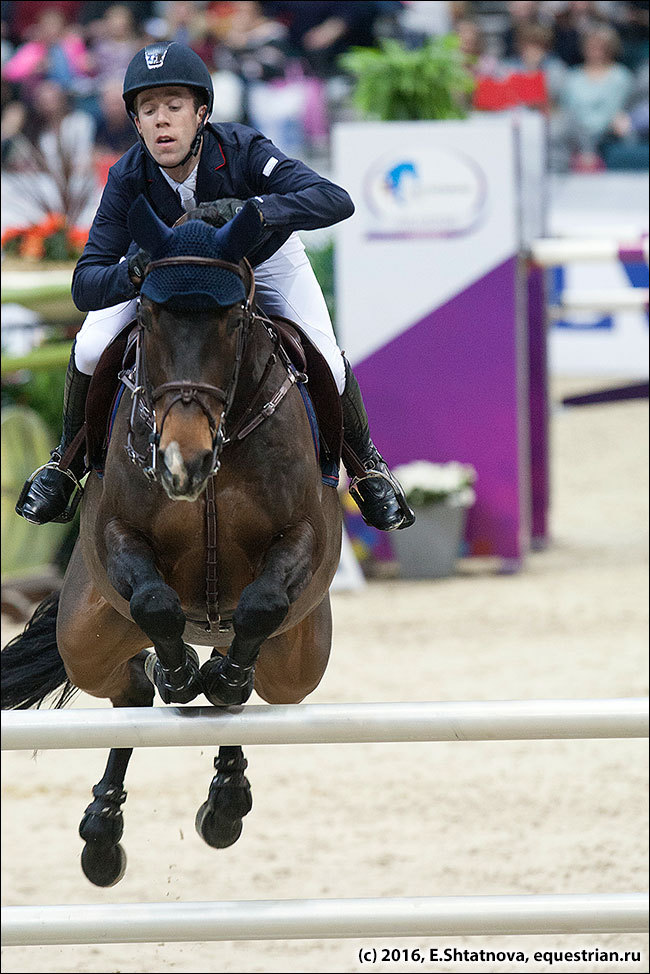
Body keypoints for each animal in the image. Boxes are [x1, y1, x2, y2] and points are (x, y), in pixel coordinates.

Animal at [0, 196, 342, 884]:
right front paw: (179, 674)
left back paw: (225, 792)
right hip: (87, 629)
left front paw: (219, 679)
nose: (183, 463)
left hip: (300, 660)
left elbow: (260, 607)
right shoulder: (116, 535)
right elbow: (156, 603)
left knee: (253, 681)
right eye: (151, 318)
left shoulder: (303, 538)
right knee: (130, 689)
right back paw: (105, 829)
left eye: (233, 321)